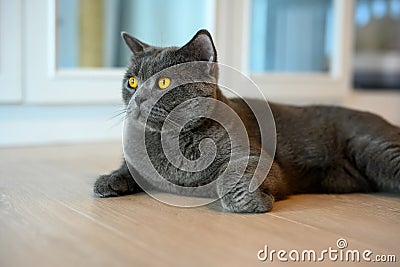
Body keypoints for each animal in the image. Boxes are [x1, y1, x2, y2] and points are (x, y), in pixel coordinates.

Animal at [94, 29, 400, 214]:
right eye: (132, 82)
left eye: (164, 82)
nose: (138, 98)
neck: (169, 141)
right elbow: (129, 168)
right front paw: (108, 180)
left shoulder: (254, 156)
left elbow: (232, 177)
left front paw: (249, 202)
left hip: (375, 148)